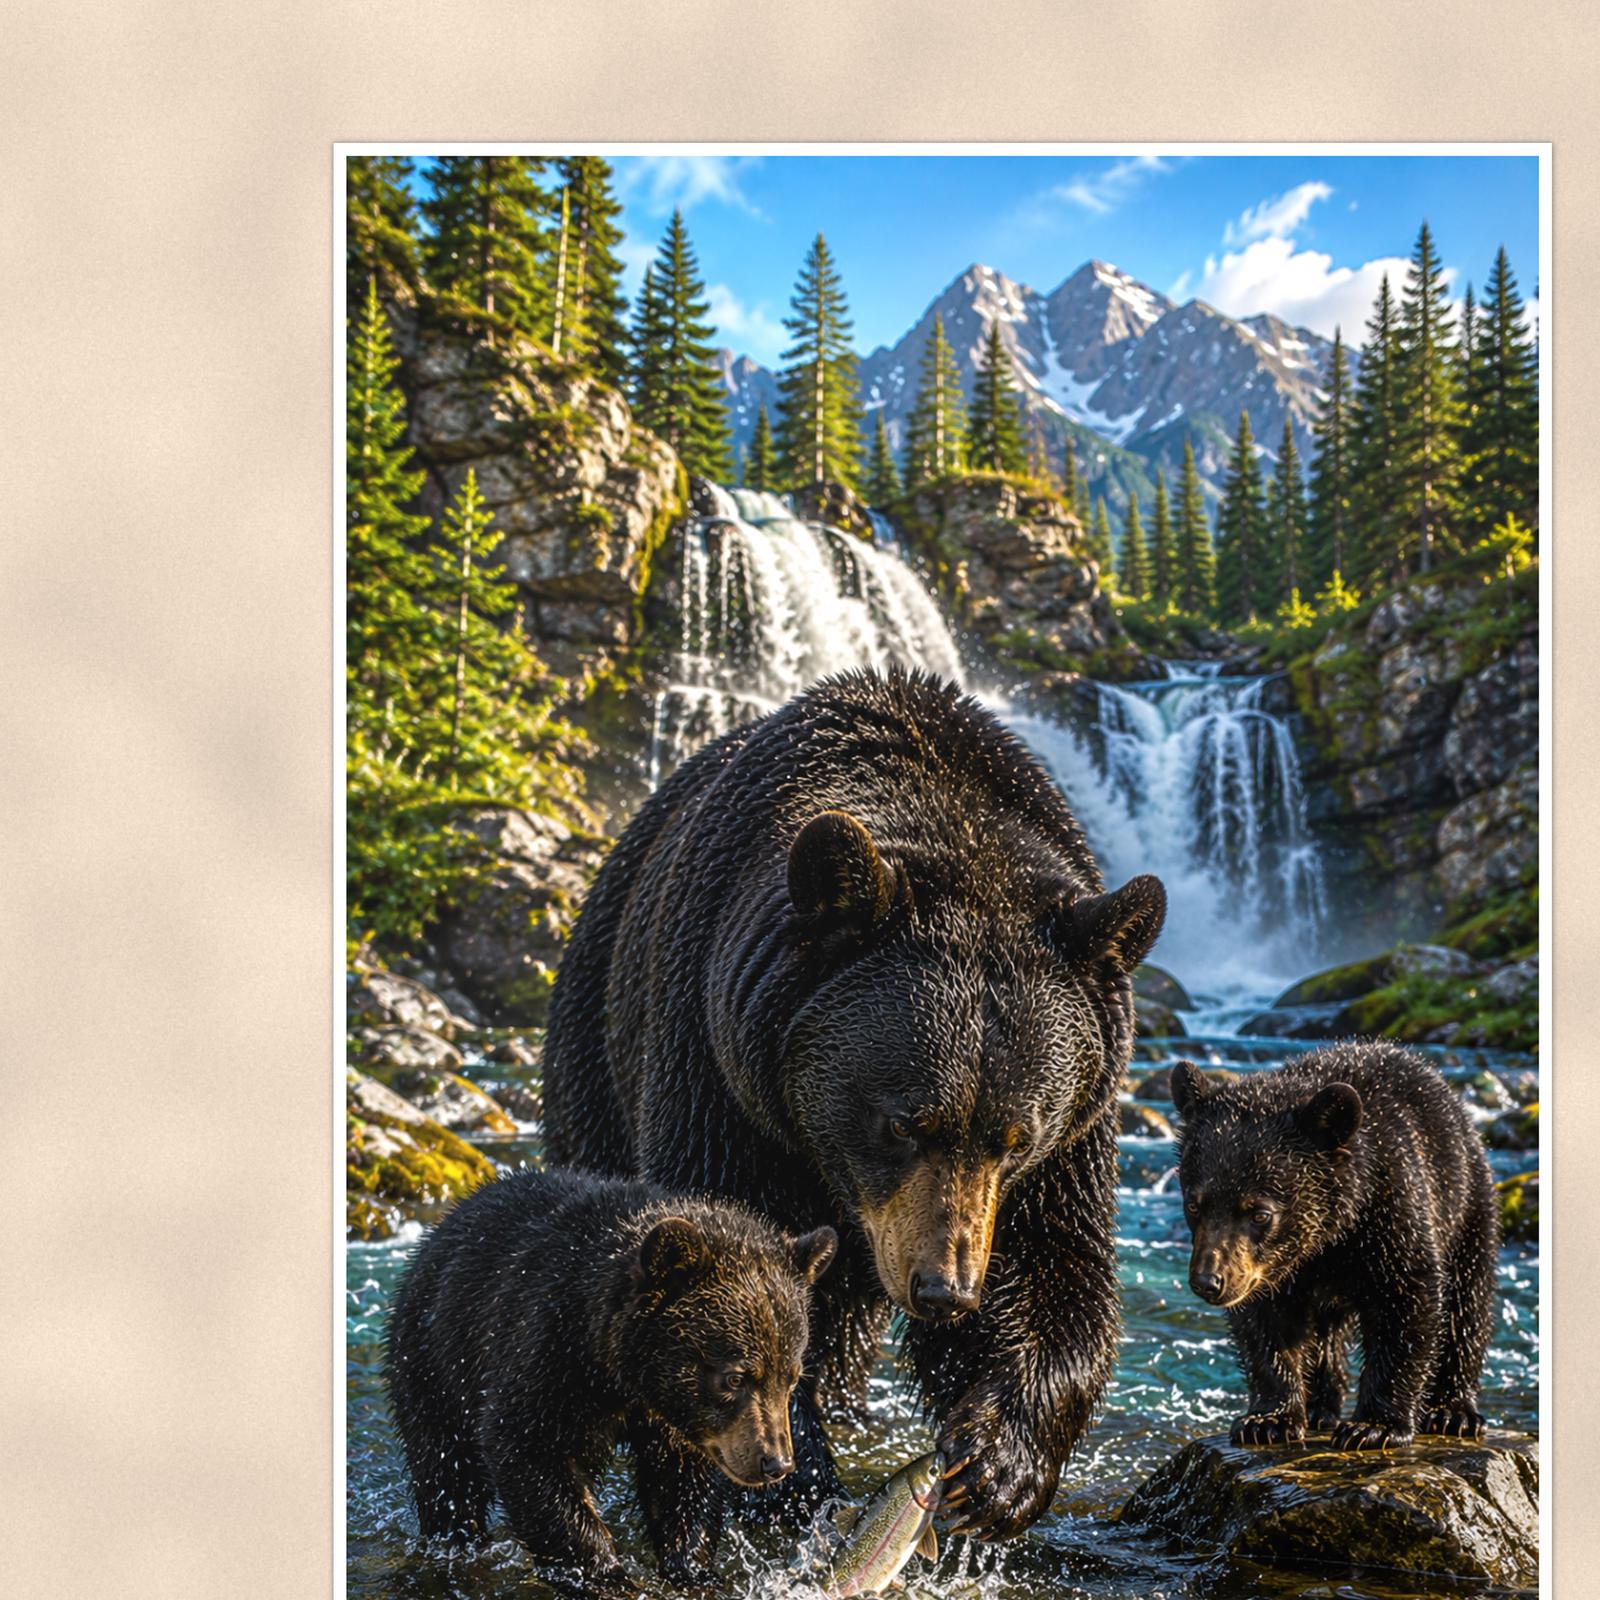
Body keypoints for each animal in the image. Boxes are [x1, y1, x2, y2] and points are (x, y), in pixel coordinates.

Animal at [385, 1166, 836, 1592]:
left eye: (791, 1376)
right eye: (735, 1378)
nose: (775, 1462)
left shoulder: (675, 1423)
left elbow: (683, 1483)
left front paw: (692, 1567)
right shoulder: (545, 1351)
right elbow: (526, 1448)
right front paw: (604, 1574)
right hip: (433, 1362)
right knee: (446, 1472)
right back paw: (455, 1536)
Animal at [543, 666, 1167, 1538]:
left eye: (1016, 1137)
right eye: (904, 1123)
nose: (946, 1291)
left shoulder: (1076, 1126)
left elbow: (1057, 1266)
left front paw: (997, 1466)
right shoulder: (717, 1070)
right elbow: (725, 1277)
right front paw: (793, 1483)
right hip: (596, 1049)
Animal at [1171, 1040, 1499, 1451]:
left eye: (1259, 1212)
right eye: (1194, 1204)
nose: (1208, 1281)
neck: (1328, 1238)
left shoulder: (1394, 1212)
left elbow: (1407, 1303)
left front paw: (1374, 1426)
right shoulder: (1271, 1272)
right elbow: (1266, 1325)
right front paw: (1267, 1420)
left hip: (1467, 1207)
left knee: (1467, 1306)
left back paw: (1454, 1411)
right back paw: (1318, 1407)